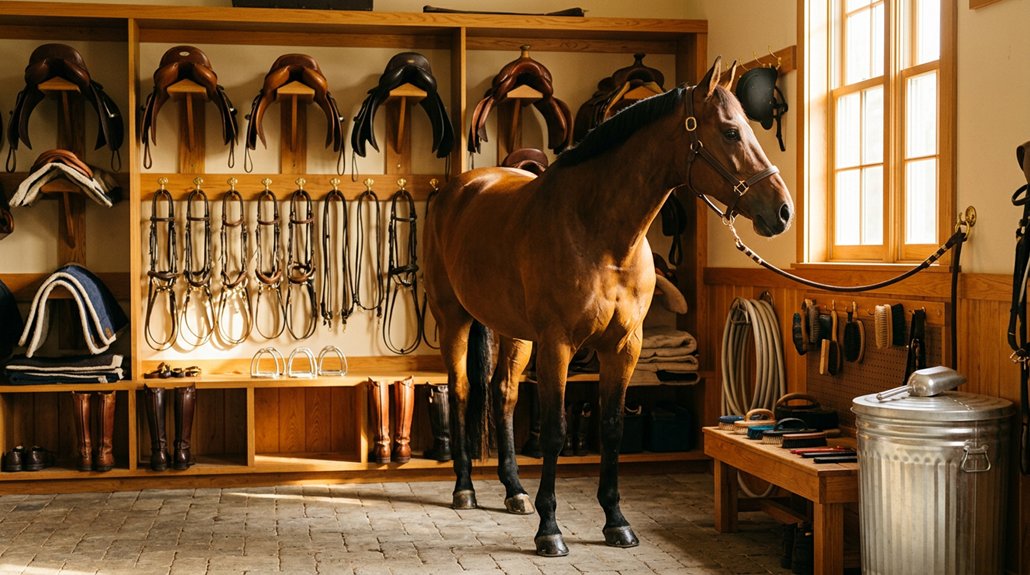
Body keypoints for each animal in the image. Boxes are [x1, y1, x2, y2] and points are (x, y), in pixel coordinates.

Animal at [422, 57, 793, 557]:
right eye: (731, 132)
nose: (783, 211)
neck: (598, 232)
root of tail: (460, 189)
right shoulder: (558, 345)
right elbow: (555, 430)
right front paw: (550, 529)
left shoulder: (624, 346)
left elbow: (613, 428)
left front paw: (616, 521)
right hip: (454, 319)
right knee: (461, 389)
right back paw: (464, 487)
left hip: (515, 332)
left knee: (503, 394)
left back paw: (514, 490)